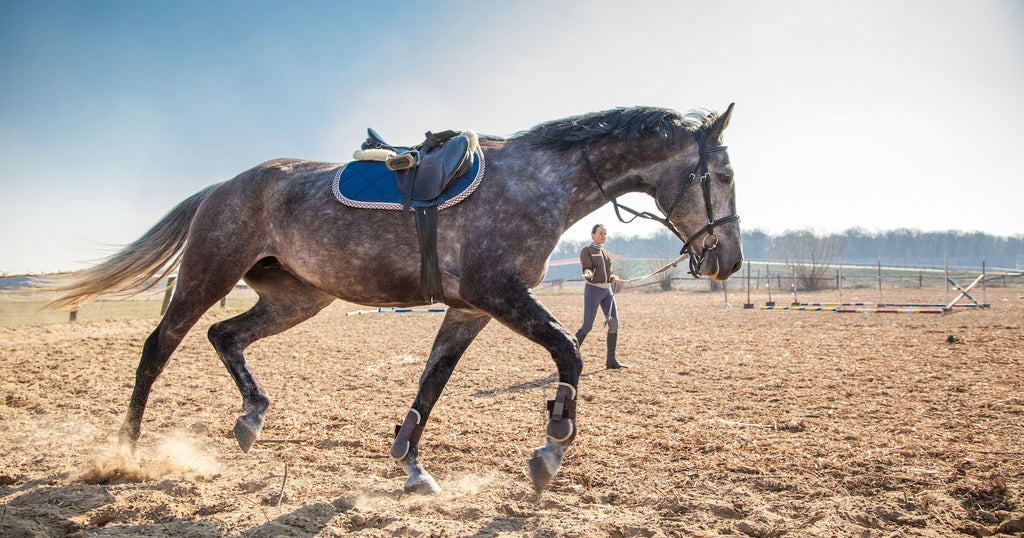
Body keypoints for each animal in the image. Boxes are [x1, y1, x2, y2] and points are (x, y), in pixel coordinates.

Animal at [41, 102, 745, 493]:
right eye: (726, 173)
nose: (729, 261)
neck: (538, 181)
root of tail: (224, 186)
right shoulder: (497, 294)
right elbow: (568, 356)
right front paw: (550, 447)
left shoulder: (469, 309)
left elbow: (431, 383)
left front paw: (410, 461)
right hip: (207, 276)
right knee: (158, 348)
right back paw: (125, 454)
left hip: (298, 298)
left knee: (225, 335)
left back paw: (251, 416)